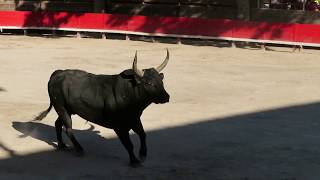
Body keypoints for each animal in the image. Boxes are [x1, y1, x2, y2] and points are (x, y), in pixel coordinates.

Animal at [34, 50, 170, 167]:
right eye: (148, 83)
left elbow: (143, 134)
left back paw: (62, 145)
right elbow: (128, 144)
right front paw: (134, 161)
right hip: (61, 107)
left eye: (161, 82)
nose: (166, 97)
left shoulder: (134, 119)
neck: (129, 93)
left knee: (58, 124)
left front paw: (142, 154)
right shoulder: (119, 126)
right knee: (68, 128)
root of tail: (57, 73)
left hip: (67, 110)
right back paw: (79, 149)